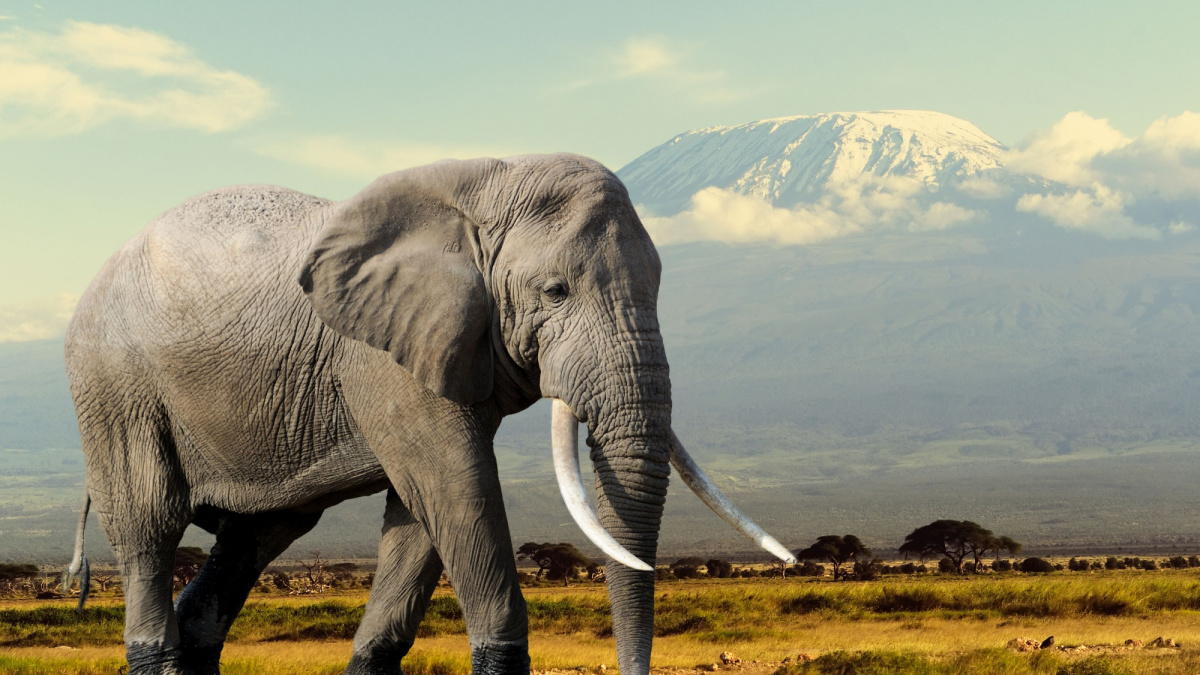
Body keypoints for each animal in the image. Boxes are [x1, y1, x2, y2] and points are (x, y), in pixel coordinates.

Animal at [60, 153, 794, 675]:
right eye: (555, 291)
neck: (489, 185)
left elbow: (420, 516)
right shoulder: (382, 353)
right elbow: (455, 485)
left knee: (258, 534)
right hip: (113, 383)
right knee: (151, 521)